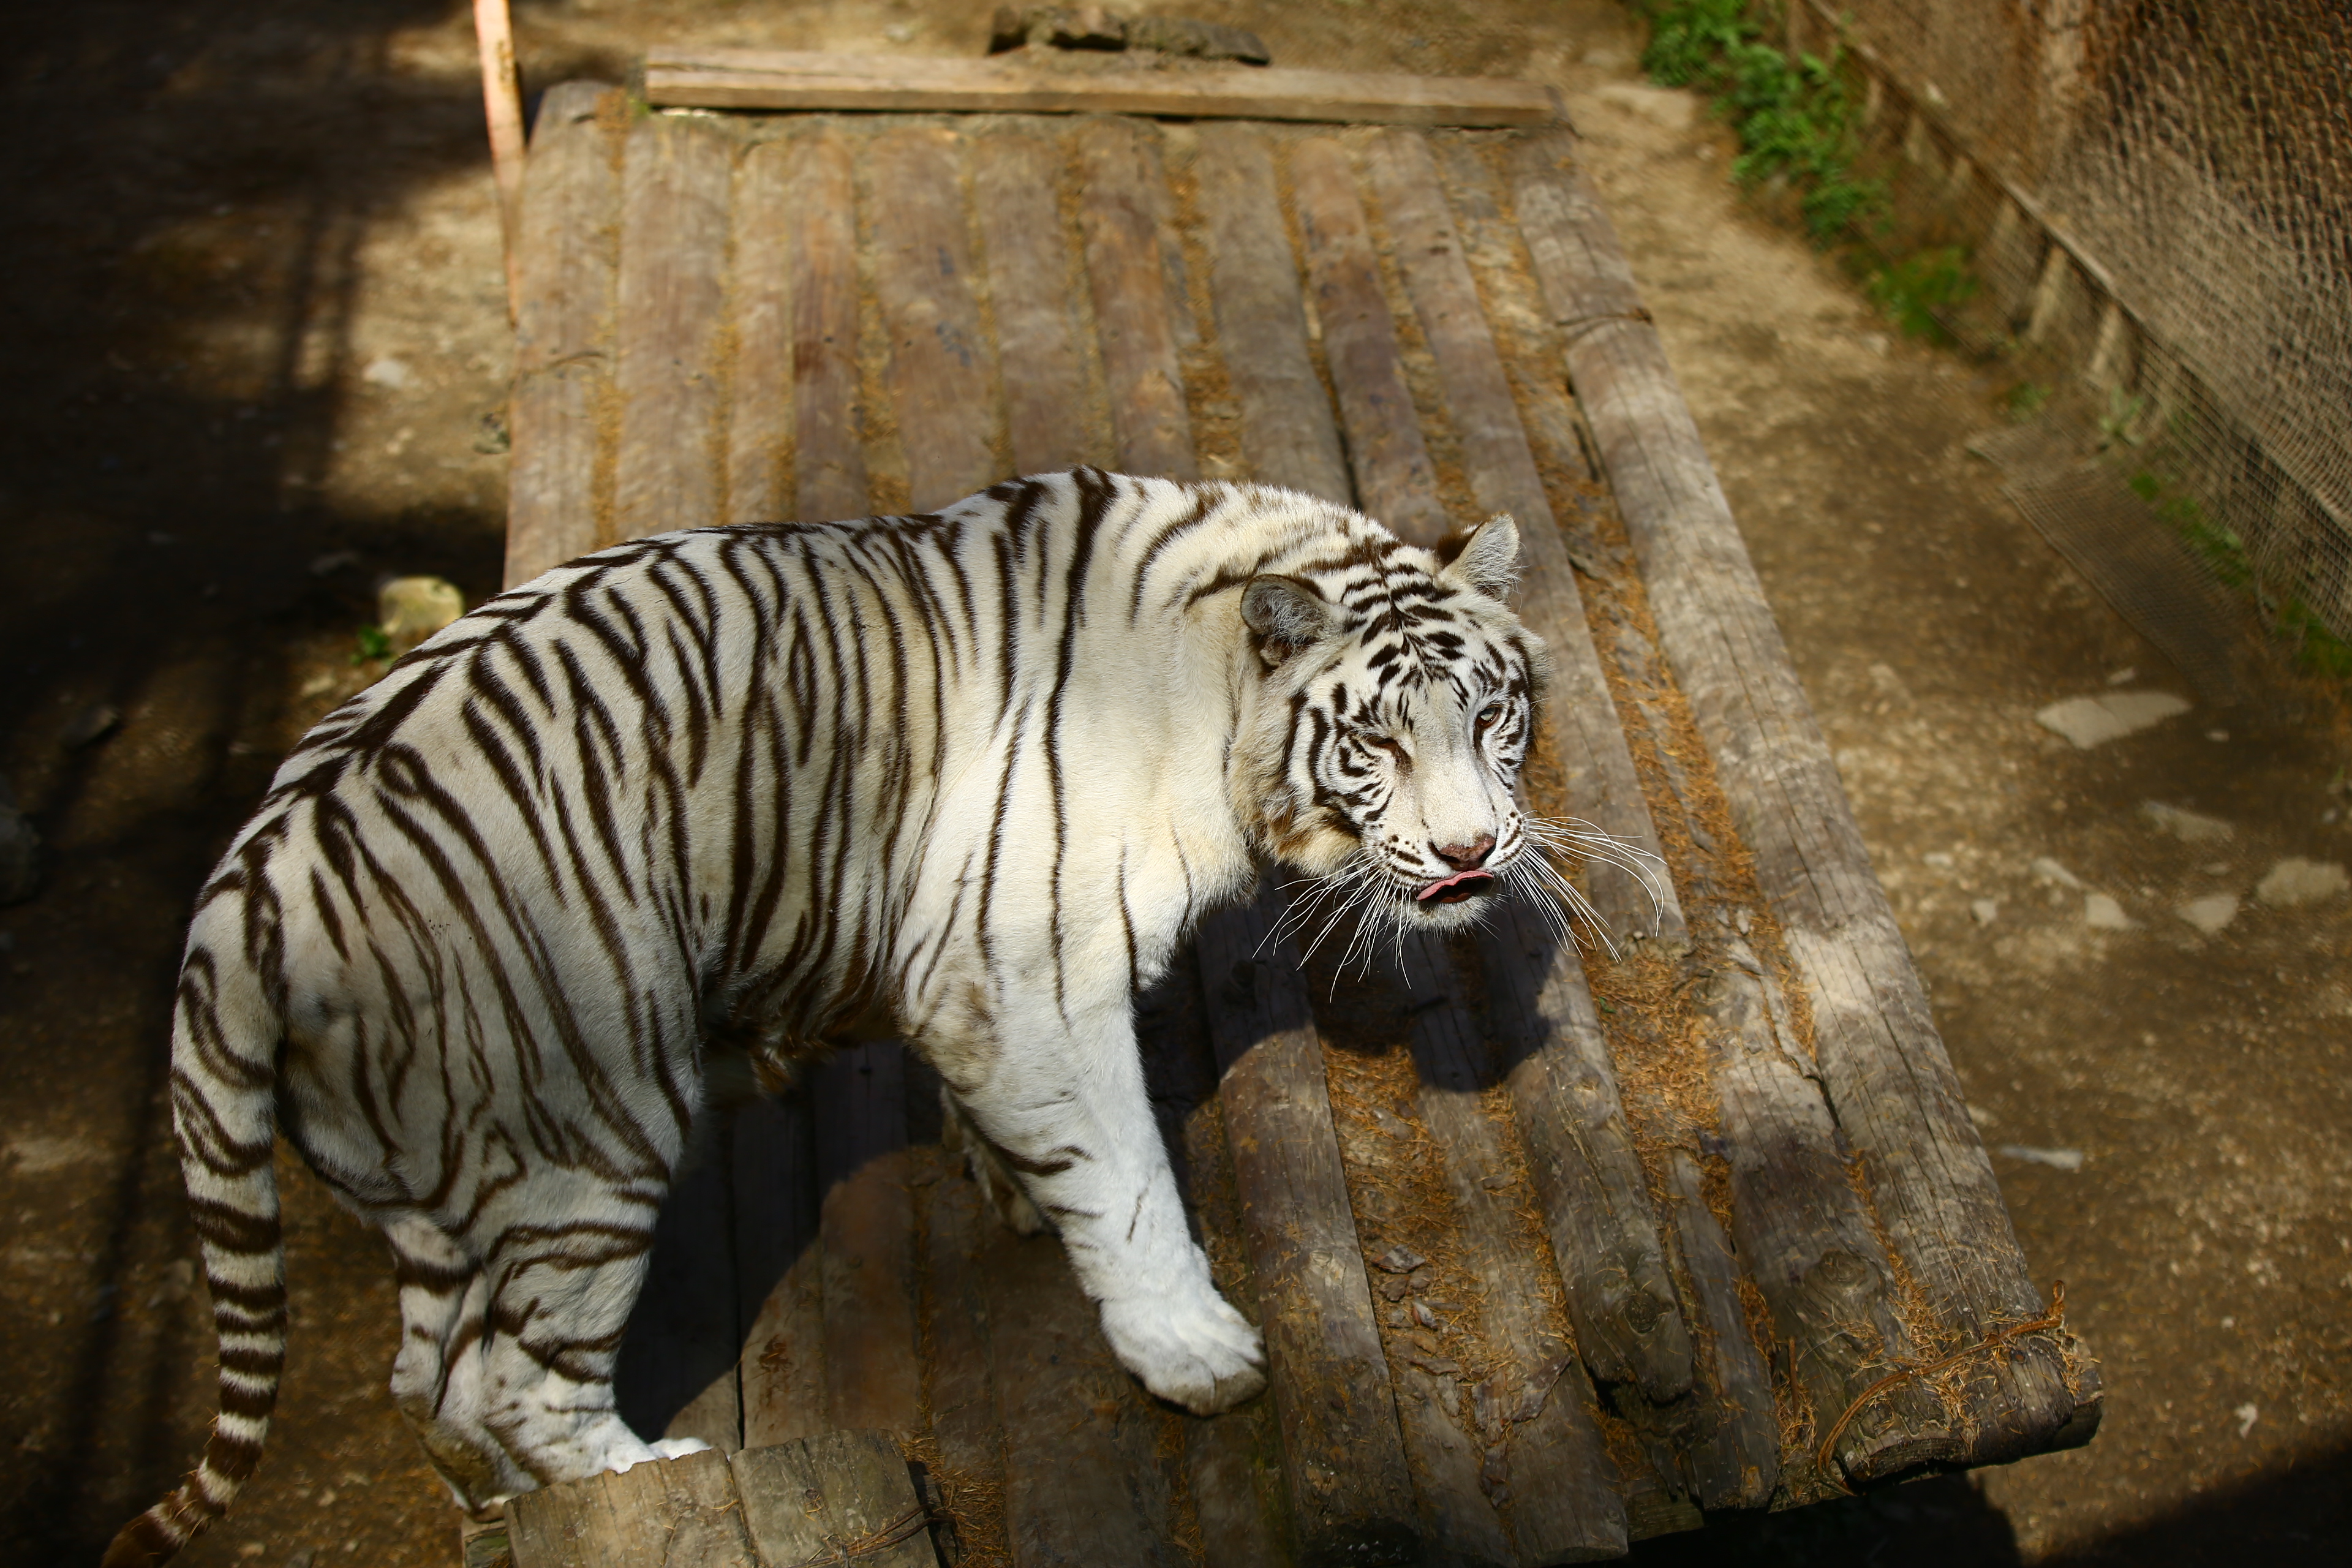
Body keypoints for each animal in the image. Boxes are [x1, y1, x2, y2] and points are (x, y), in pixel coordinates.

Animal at [106, 467, 1562, 1565]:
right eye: (1376, 742)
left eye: (1491, 715)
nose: (1471, 853)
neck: (1205, 699)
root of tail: (238, 905)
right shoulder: (1032, 975)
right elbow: (1130, 1176)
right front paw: (1193, 1351)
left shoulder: (958, 972)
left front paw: (1009, 1182)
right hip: (594, 1130)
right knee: (522, 1386)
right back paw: (652, 1472)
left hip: (436, 1182)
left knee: (431, 1390)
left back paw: (501, 1512)